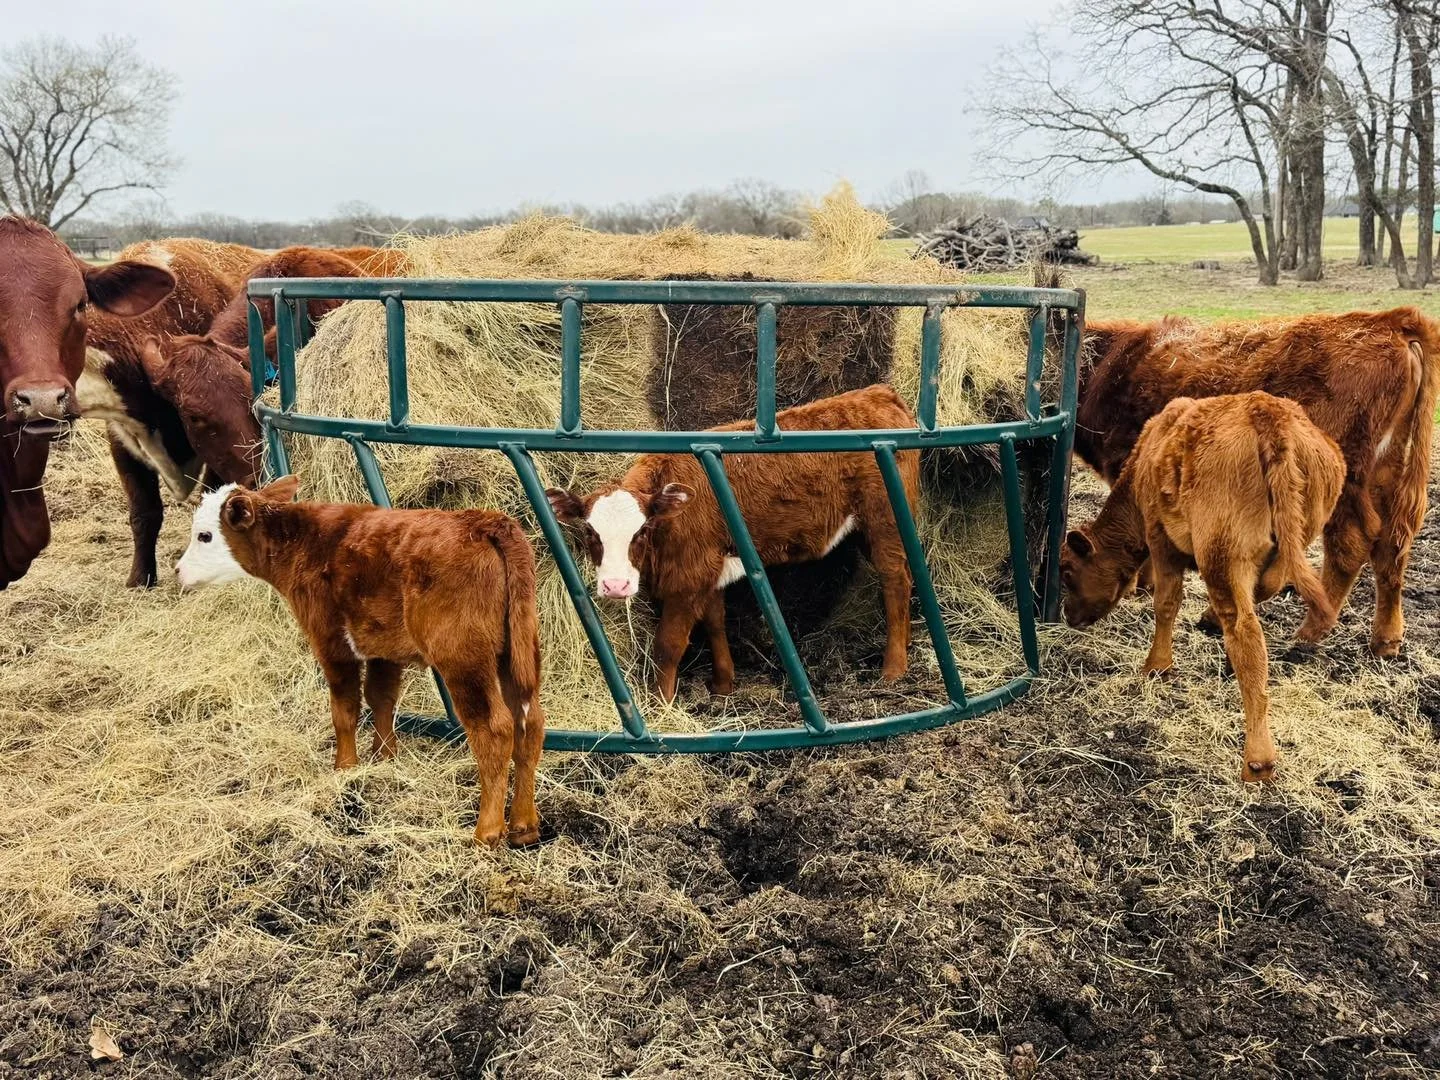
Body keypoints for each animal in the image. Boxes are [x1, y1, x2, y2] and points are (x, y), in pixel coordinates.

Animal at [175, 476, 546, 848]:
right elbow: (381, 699)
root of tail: (486, 522)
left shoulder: (331, 642)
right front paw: (384, 758)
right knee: (529, 723)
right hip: (517, 652)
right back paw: (524, 826)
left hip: (463, 658)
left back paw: (487, 831)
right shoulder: (383, 649)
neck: (303, 541)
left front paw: (345, 767)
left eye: (204, 535)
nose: (178, 571)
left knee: (494, 729)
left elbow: (345, 710)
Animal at [545, 384, 920, 702]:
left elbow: (668, 645)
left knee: (895, 581)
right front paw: (723, 684)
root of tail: (879, 394)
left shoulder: (689, 576)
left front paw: (661, 704)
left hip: (884, 521)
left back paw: (893, 668)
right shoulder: (710, 566)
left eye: (642, 530)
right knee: (905, 575)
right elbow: (714, 621)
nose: (615, 585)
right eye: (590, 532)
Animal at [1062, 392, 1345, 782]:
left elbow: (1166, 603)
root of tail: (1268, 413)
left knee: (1244, 629)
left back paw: (1258, 759)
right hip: (1291, 540)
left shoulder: (1161, 539)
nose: (1068, 616)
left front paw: (1157, 666)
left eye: (1067, 571)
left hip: (1221, 556)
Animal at [1074, 308, 1440, 657]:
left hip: (1346, 482)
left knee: (1350, 546)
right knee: (1391, 546)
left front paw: (1141, 585)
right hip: (1385, 472)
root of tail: (1390, 321)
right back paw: (1385, 640)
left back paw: (1308, 630)